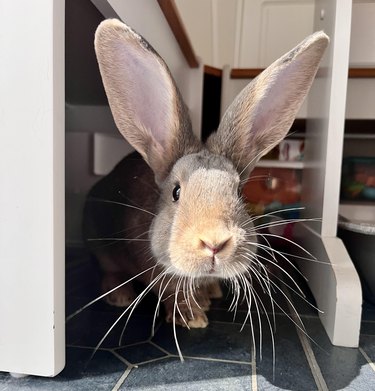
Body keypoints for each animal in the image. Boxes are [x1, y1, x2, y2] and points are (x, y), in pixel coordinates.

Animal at [84, 18, 328, 330]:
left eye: (238, 192)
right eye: (176, 192)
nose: (214, 243)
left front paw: (206, 296)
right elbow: (173, 292)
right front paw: (193, 318)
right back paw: (121, 295)